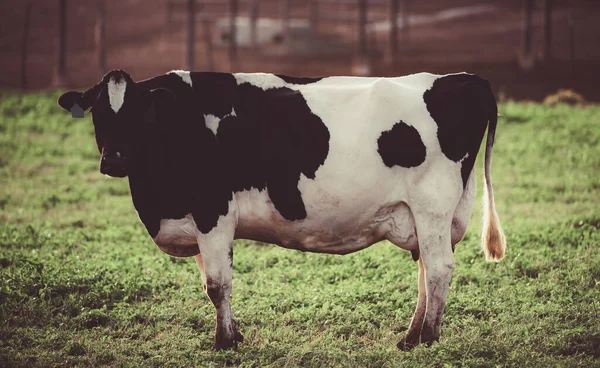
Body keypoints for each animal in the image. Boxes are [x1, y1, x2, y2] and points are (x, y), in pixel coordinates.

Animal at [56, 69, 506, 350]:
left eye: (136, 112)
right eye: (98, 112)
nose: (114, 159)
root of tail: (463, 78)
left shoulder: (214, 213)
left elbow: (217, 284)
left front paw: (224, 344)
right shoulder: (199, 225)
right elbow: (211, 283)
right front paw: (233, 336)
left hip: (432, 206)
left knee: (439, 270)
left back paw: (425, 338)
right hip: (423, 214)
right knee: (426, 272)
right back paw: (411, 335)